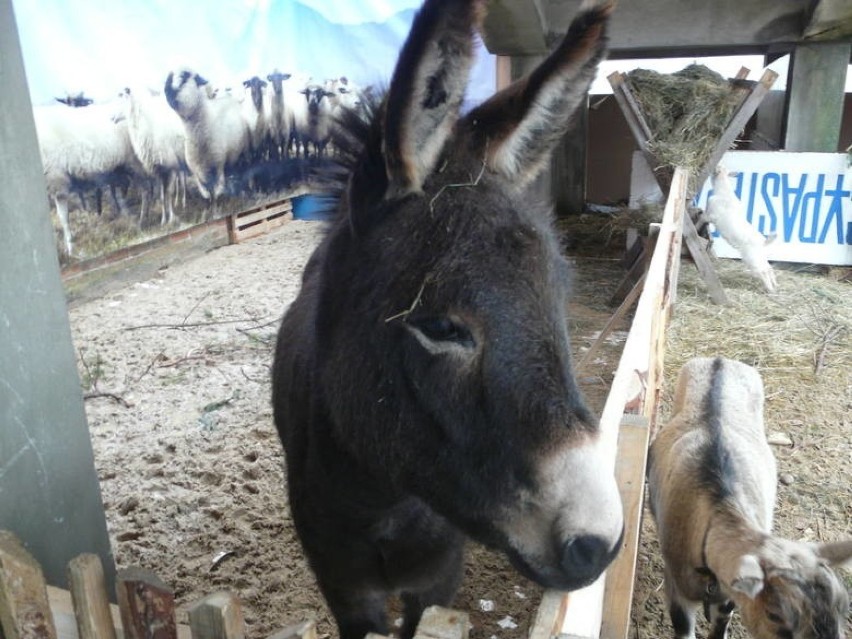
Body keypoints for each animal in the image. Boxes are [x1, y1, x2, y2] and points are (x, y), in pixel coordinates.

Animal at [118, 87, 186, 228]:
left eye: (122, 97)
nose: (112, 117)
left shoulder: (170, 167)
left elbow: (169, 193)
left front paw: (172, 219)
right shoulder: (159, 170)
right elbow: (162, 196)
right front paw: (163, 220)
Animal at [163, 68, 250, 218]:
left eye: (184, 78)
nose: (166, 89)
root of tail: (230, 99)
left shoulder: (218, 166)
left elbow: (215, 193)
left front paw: (216, 210)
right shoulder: (198, 172)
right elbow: (207, 194)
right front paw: (209, 209)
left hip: (241, 153)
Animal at [648, 358, 848, 639]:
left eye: (843, 606)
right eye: (774, 614)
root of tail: (719, 359)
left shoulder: (728, 593)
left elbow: (722, 619)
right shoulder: (677, 586)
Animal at [704, 165, 776, 296]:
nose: (714, 167)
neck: (724, 191)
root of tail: (763, 242)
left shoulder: (711, 215)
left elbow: (704, 214)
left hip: (752, 258)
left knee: (763, 271)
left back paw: (770, 289)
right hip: (760, 257)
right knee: (768, 269)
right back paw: (774, 286)